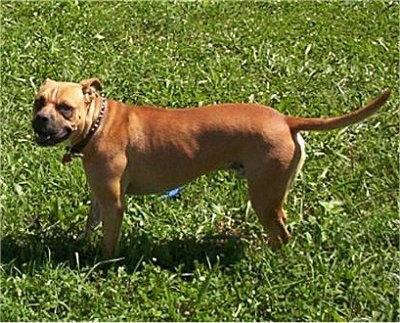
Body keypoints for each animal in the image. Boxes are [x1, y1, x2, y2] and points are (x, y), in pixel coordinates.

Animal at [32, 79, 390, 260]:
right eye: (39, 101)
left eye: (65, 107)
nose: (40, 120)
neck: (99, 123)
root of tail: (285, 120)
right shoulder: (100, 197)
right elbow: (90, 224)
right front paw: (80, 245)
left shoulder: (114, 202)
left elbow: (109, 242)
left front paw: (102, 265)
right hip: (273, 192)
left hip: (262, 196)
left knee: (281, 234)